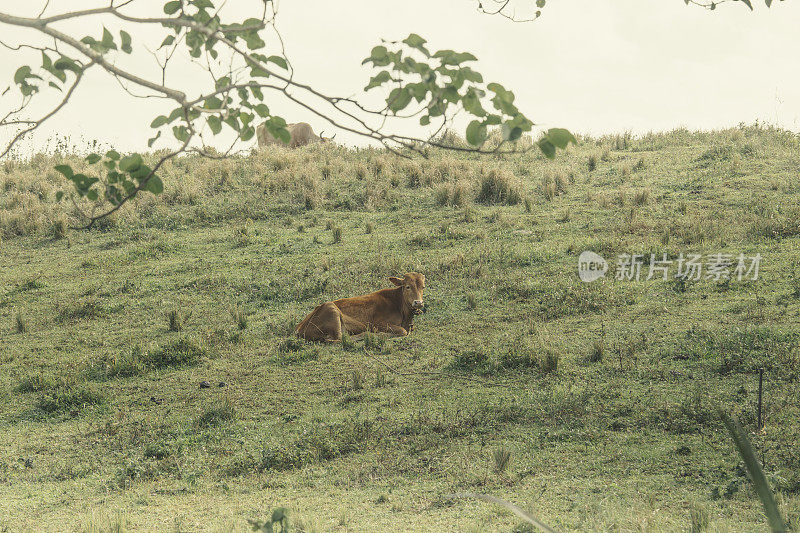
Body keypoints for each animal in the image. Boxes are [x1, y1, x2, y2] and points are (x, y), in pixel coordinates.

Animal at [296, 272, 424, 342]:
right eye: (407, 286)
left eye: (423, 287)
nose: (418, 303)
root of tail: (299, 328)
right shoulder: (378, 324)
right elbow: (403, 331)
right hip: (331, 309)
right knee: (340, 339)